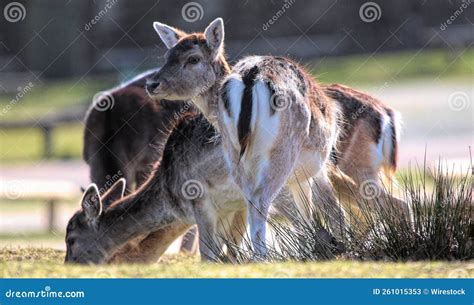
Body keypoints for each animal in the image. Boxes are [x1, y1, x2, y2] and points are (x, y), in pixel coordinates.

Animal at [149, 17, 408, 256]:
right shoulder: (317, 168)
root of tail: (388, 114)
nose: (152, 83)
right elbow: (327, 213)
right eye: (167, 56)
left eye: (192, 58)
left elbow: (316, 215)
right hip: (292, 154)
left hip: (239, 156)